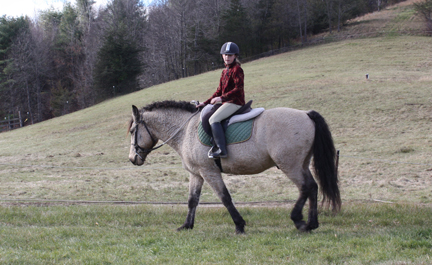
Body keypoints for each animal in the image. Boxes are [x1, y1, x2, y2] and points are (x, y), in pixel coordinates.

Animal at [128, 99, 340, 233]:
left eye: (132, 131)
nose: (132, 159)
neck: (185, 130)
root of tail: (306, 114)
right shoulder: (196, 174)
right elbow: (192, 200)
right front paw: (186, 226)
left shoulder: (209, 172)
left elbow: (225, 198)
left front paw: (239, 225)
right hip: (301, 164)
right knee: (313, 187)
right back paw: (311, 223)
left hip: (290, 165)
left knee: (306, 187)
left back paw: (299, 220)